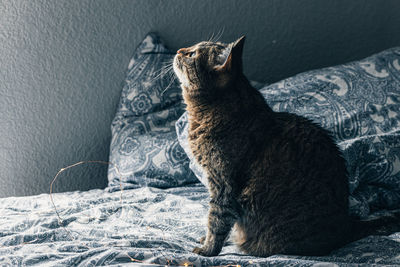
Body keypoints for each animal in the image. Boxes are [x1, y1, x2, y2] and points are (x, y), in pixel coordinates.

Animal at [172, 35, 400, 258]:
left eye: (192, 54)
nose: (179, 50)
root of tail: (348, 224)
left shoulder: (223, 185)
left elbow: (217, 220)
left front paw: (208, 249)